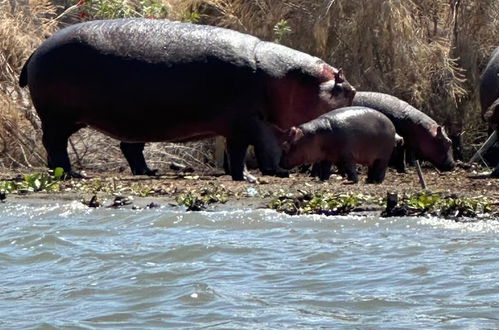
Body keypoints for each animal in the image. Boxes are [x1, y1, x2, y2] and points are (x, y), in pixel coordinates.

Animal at [18, 18, 356, 180]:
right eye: (340, 85)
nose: (355, 92)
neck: (283, 76)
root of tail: (35, 51)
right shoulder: (252, 121)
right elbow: (263, 147)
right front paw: (268, 174)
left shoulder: (242, 124)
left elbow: (239, 151)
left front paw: (248, 175)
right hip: (59, 117)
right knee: (55, 144)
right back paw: (73, 173)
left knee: (128, 148)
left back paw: (146, 172)